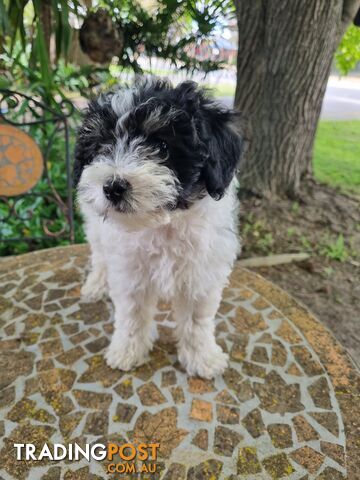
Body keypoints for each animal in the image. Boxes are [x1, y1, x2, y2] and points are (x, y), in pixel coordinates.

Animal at [75, 76, 245, 378]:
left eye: (162, 147)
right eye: (101, 148)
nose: (112, 187)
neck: (164, 226)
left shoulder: (201, 275)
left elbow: (197, 320)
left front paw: (202, 357)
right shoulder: (130, 272)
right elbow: (132, 315)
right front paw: (127, 351)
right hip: (95, 226)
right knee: (99, 256)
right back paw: (95, 285)